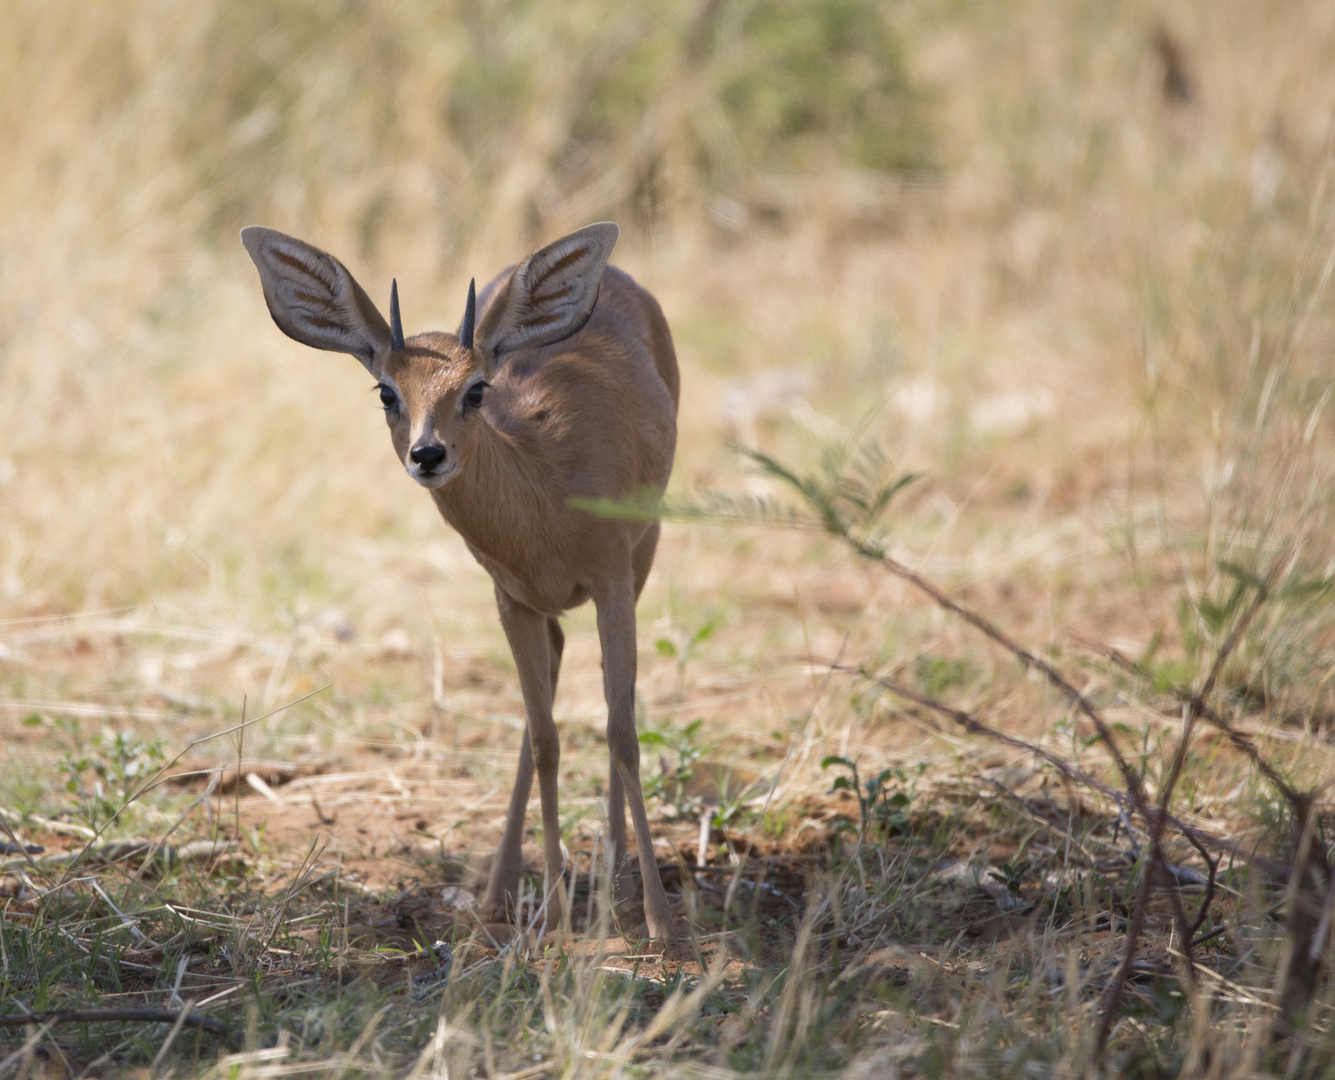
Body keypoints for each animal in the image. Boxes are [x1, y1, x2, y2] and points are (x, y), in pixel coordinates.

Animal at [240, 218, 678, 934]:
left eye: (475, 390)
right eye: (387, 391)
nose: (427, 453)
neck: (543, 489)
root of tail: (616, 275)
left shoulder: (613, 581)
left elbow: (621, 732)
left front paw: (661, 922)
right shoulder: (512, 599)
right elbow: (546, 739)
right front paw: (556, 916)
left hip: (646, 553)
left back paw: (615, 883)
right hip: (538, 608)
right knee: (547, 702)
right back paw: (503, 888)